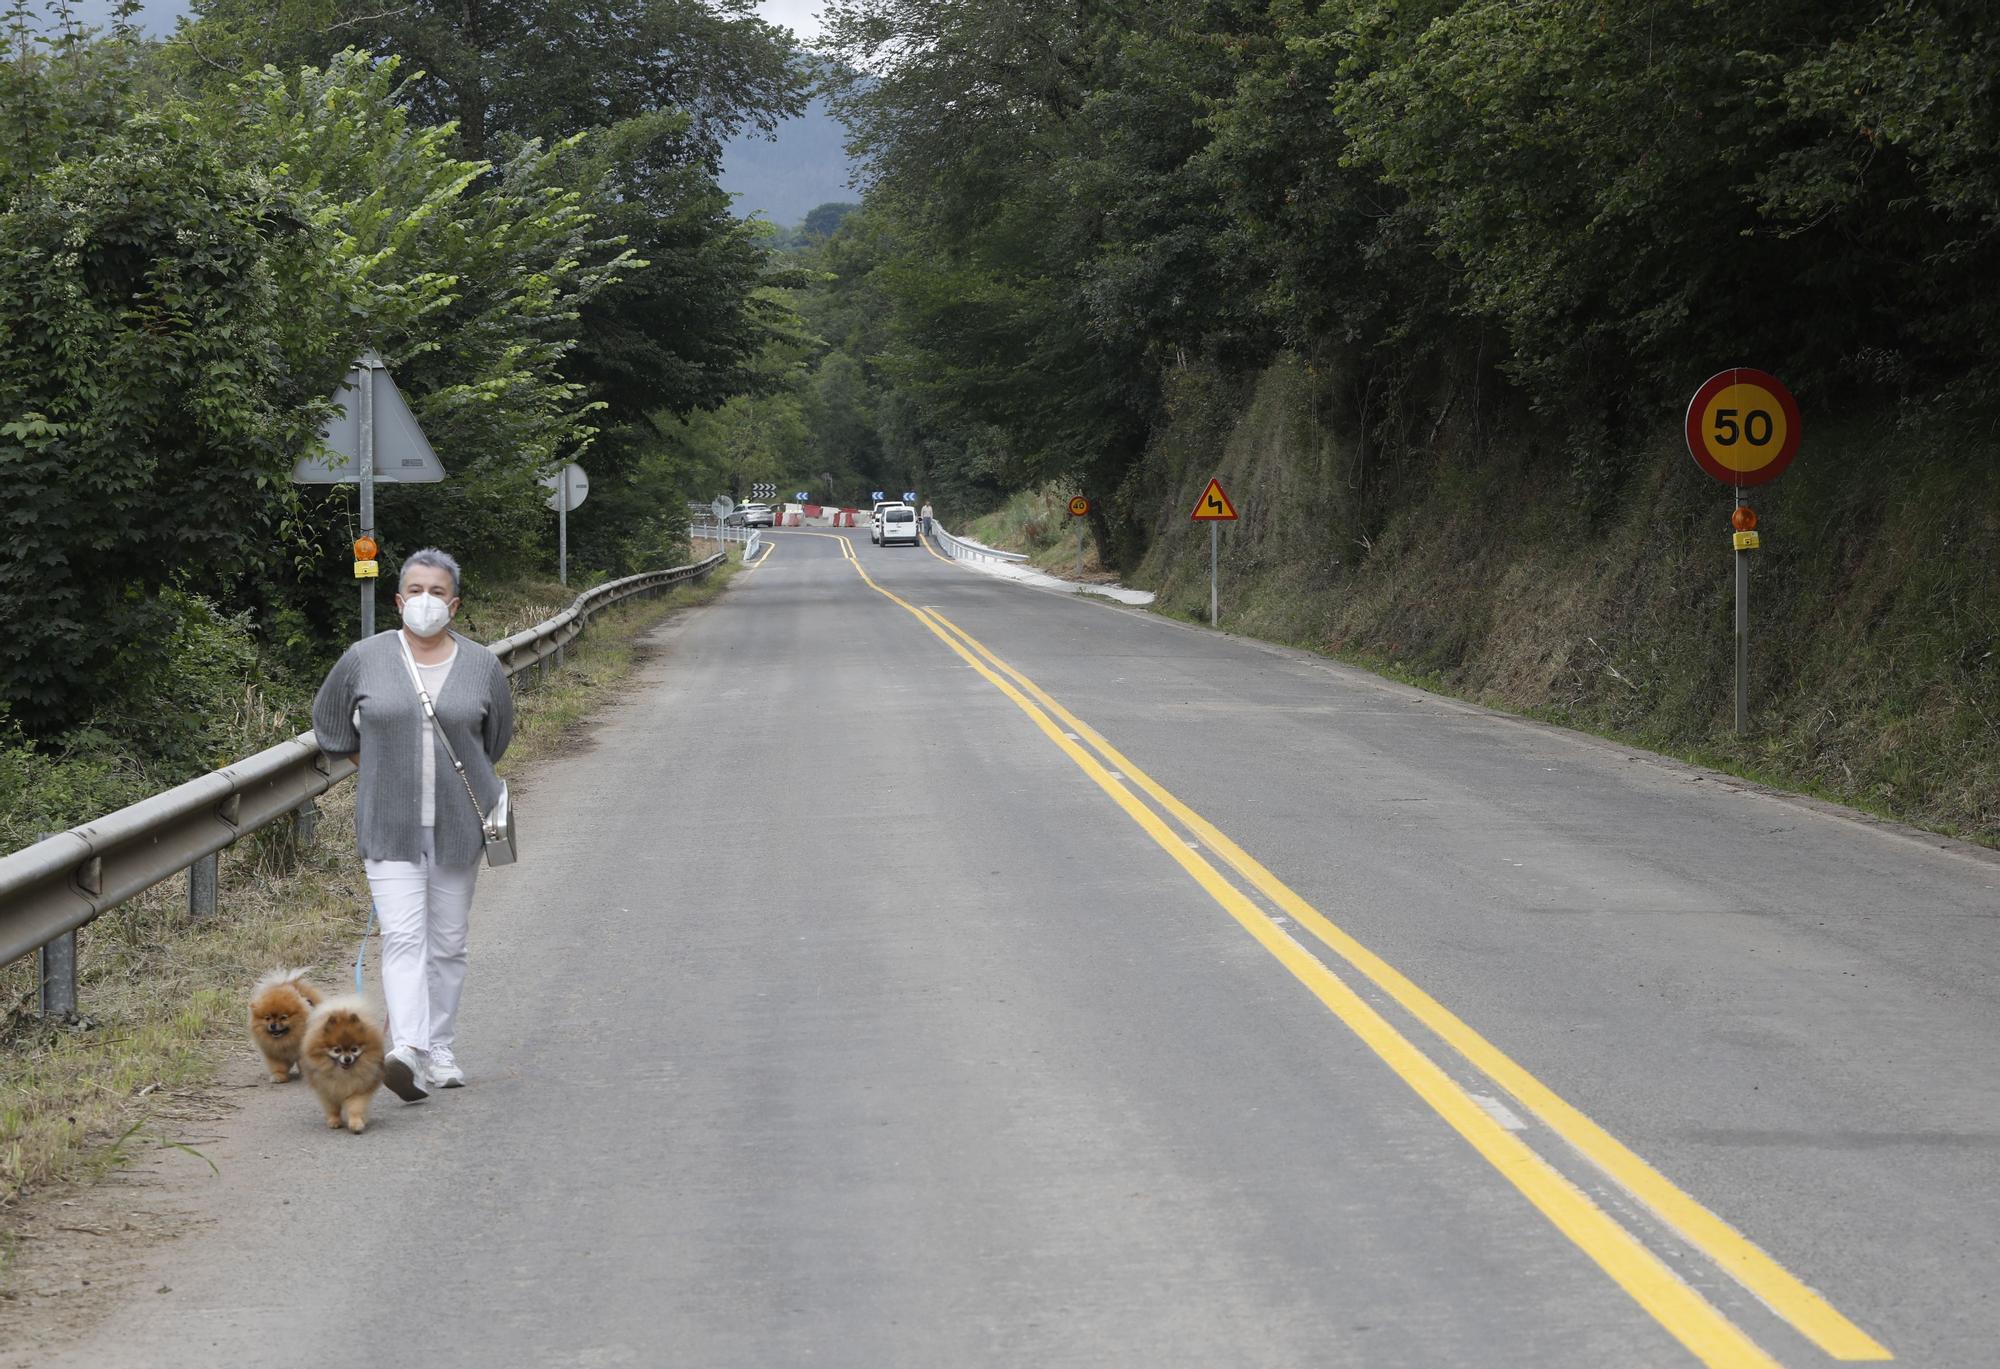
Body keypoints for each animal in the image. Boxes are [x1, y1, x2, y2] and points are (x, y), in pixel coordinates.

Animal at [298, 992, 388, 1136]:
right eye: (337, 1050)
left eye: (354, 1049)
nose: (347, 1059)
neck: (343, 1074)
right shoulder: (327, 1091)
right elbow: (333, 1109)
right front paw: (334, 1121)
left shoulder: (358, 1091)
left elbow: (355, 1108)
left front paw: (356, 1124)